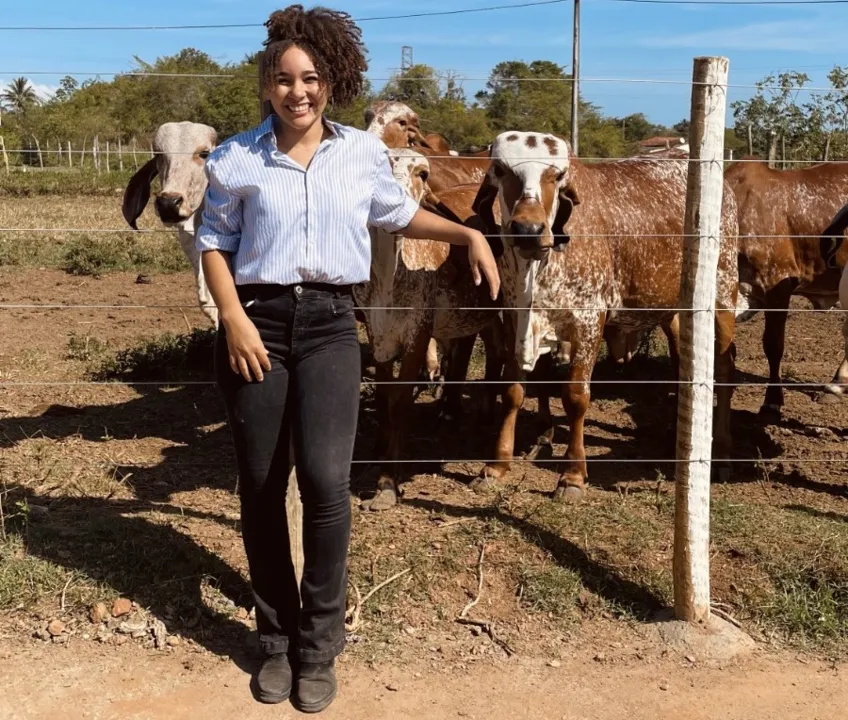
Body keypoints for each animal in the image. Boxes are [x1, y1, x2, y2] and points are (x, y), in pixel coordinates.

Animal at [352, 150, 500, 512]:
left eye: (422, 172)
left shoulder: (417, 336)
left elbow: (399, 404)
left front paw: (387, 483)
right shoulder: (378, 335)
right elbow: (383, 398)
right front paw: (376, 456)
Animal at [474, 131, 740, 500]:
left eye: (557, 176)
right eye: (500, 170)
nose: (528, 229)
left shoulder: (589, 319)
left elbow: (575, 397)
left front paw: (572, 475)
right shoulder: (516, 315)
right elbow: (512, 390)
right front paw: (497, 464)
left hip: (723, 292)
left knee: (725, 369)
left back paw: (724, 453)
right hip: (675, 308)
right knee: (683, 361)